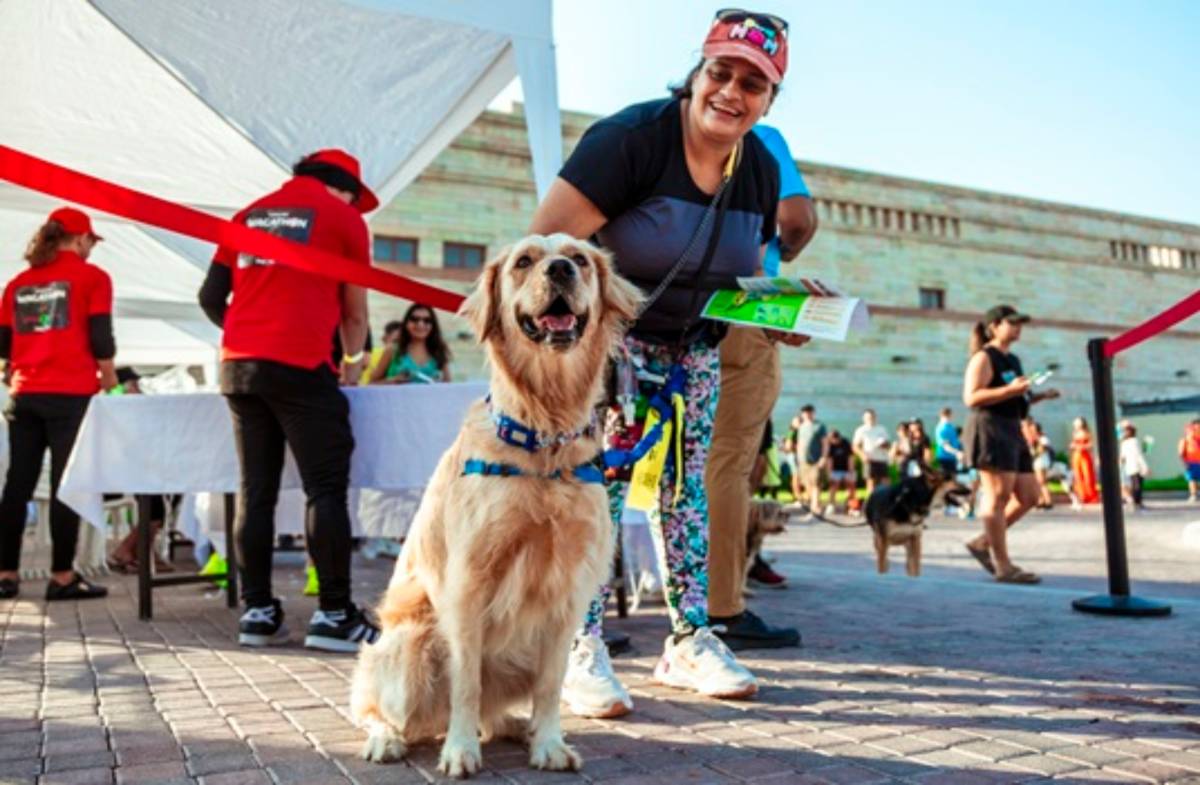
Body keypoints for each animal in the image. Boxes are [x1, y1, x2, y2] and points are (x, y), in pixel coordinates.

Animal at [350, 235, 643, 782]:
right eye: (523, 261)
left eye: (581, 257)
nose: (561, 269)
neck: (544, 439)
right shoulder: (469, 581)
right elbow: (467, 683)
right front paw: (459, 750)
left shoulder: (568, 591)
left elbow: (550, 685)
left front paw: (548, 743)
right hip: (410, 641)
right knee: (380, 709)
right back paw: (388, 739)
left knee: (495, 709)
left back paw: (514, 726)